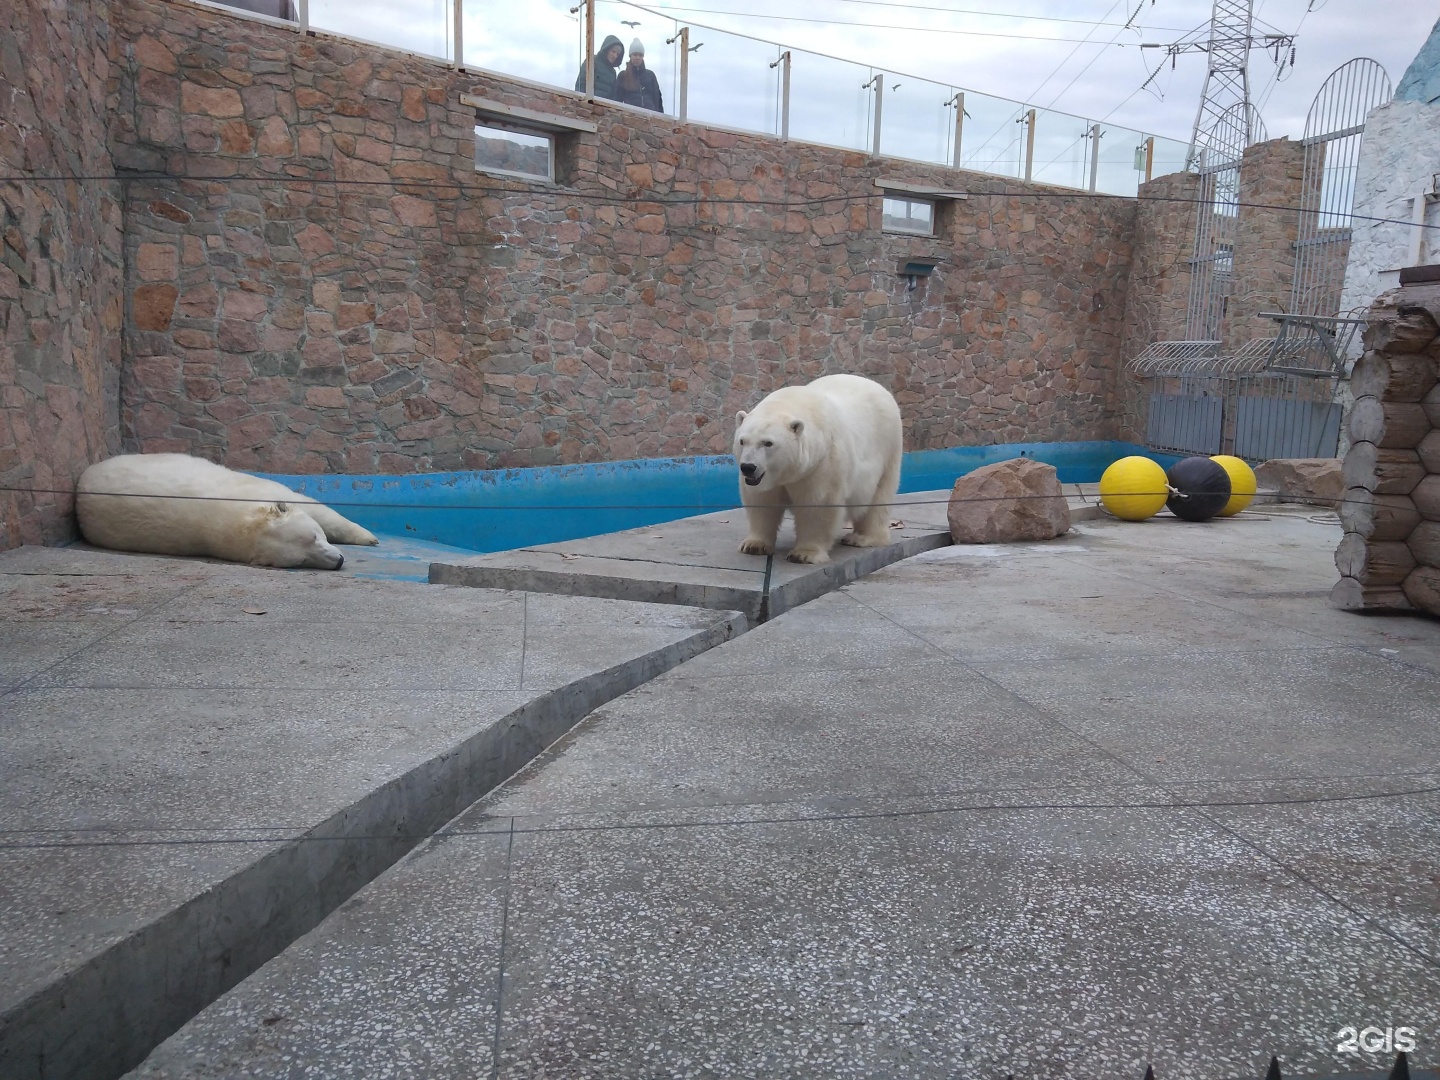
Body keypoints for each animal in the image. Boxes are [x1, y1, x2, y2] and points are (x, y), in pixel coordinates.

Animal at [731, 374, 898, 567]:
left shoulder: (822, 463)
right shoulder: (767, 480)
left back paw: (862, 538)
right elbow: (762, 501)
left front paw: (804, 554)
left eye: (768, 443)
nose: (748, 467)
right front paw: (753, 545)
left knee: (879, 496)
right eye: (742, 441)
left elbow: (817, 505)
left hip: (888, 447)